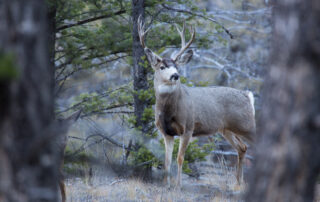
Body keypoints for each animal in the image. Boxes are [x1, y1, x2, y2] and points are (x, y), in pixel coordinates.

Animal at [137, 16, 255, 187]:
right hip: (226, 129)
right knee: (242, 147)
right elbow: (166, 160)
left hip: (247, 125)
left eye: (177, 66)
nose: (175, 75)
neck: (168, 111)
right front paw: (166, 185)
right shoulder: (166, 132)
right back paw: (238, 183)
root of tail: (247, 95)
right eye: (162, 66)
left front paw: (178, 185)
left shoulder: (188, 127)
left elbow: (180, 158)